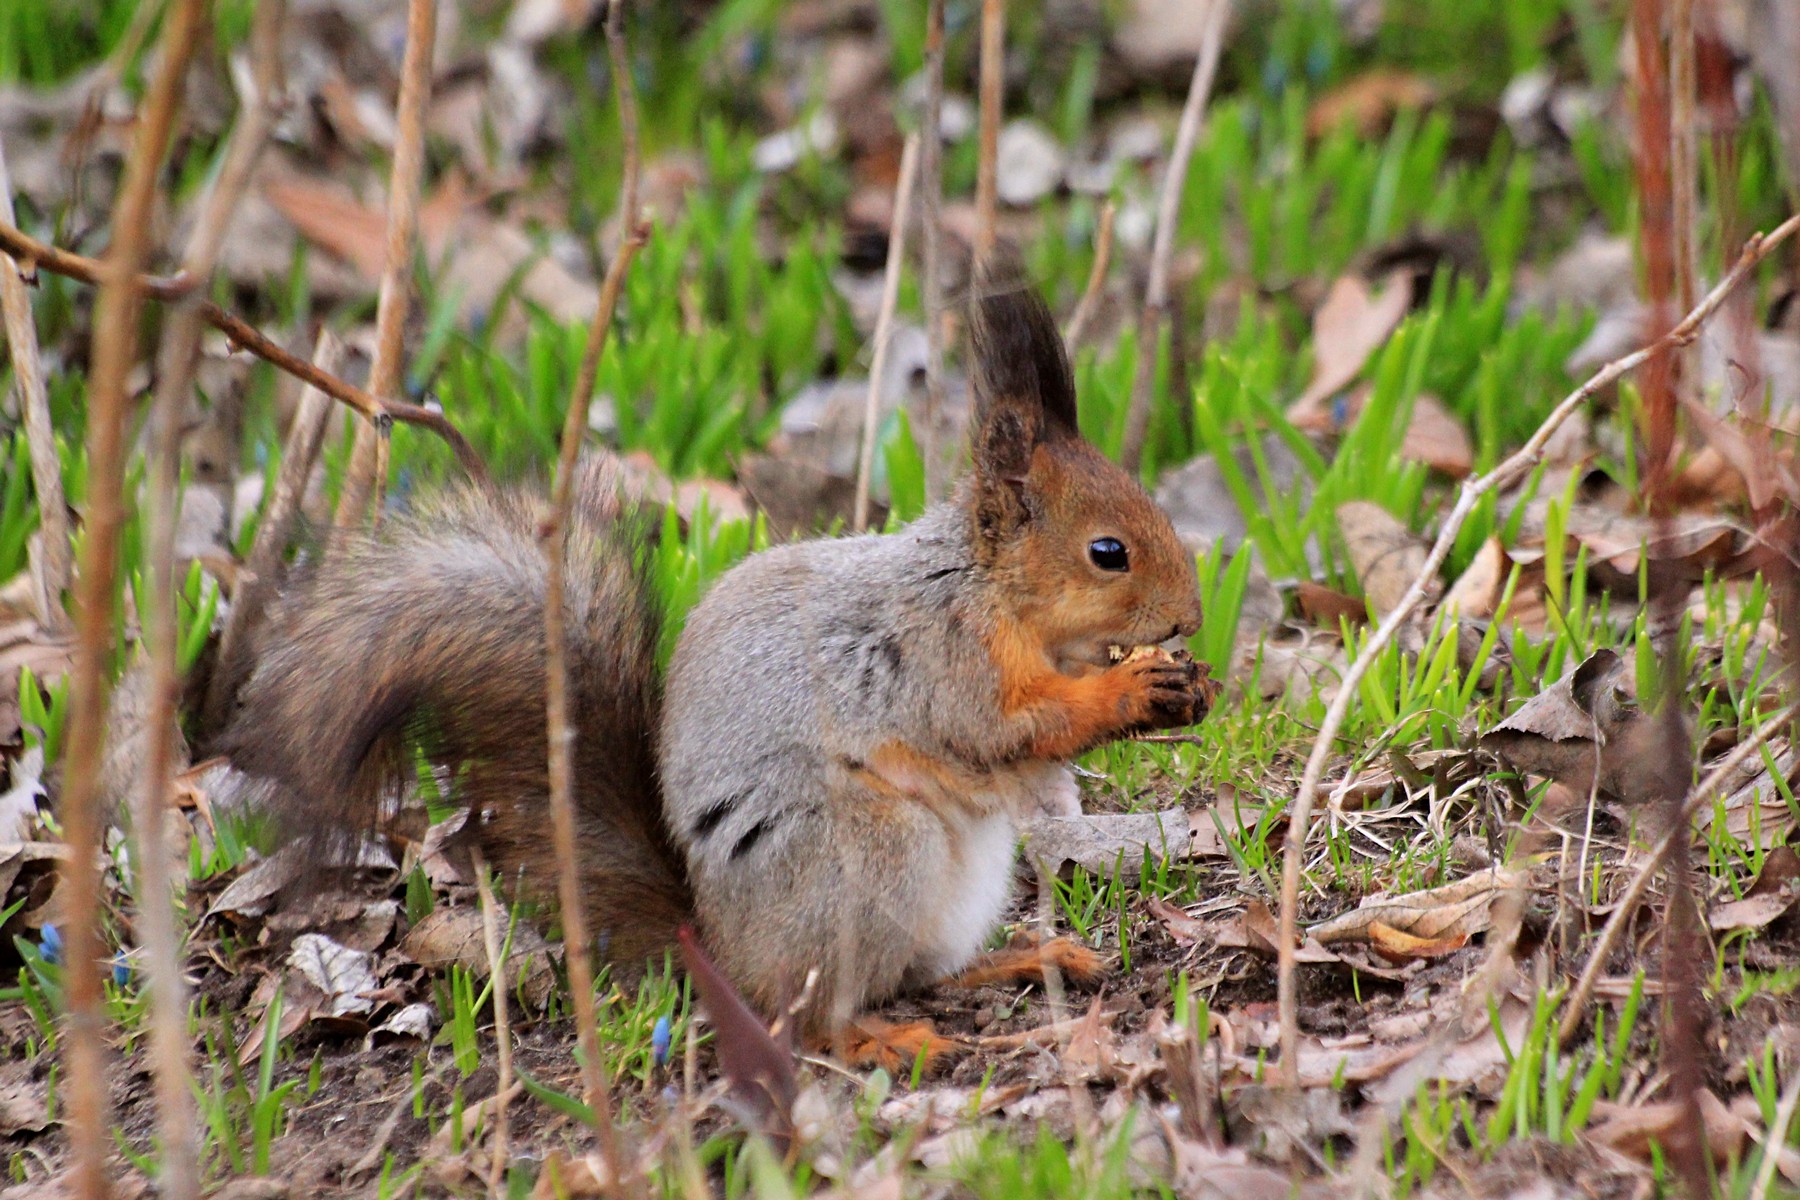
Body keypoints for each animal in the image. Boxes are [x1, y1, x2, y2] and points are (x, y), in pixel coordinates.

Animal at [221, 253, 1209, 1057]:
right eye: (1108, 552)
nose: (1194, 618)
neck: (986, 588)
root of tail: (719, 950)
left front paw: (1178, 684)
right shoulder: (945, 659)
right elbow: (1011, 728)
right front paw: (1134, 688)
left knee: (916, 974)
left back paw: (1029, 960)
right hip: (863, 860)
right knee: (809, 1013)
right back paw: (884, 1042)